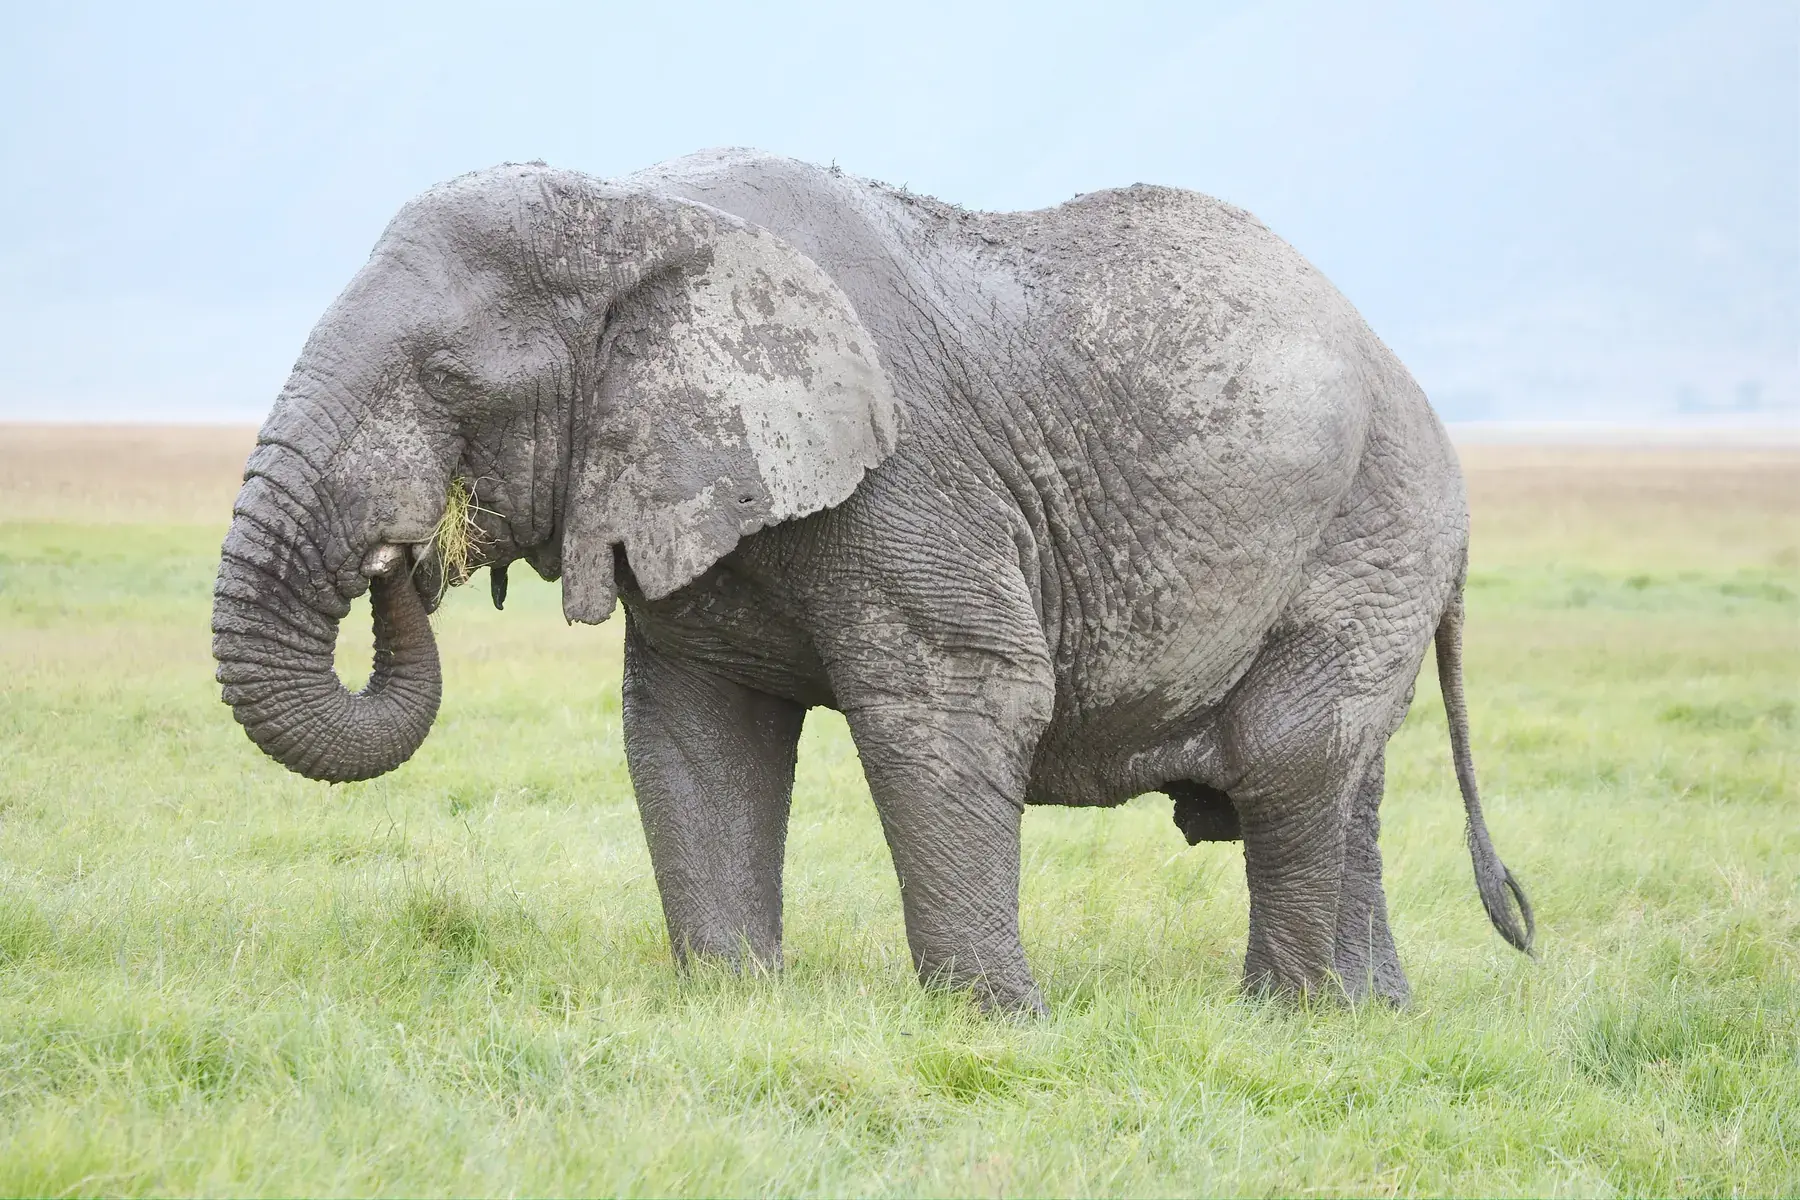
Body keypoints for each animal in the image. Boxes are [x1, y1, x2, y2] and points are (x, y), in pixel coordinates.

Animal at [212, 148, 1533, 1013]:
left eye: (449, 381)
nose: (402, 558)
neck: (644, 208)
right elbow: (693, 731)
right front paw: (733, 1005)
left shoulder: (913, 477)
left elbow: (955, 703)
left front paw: (994, 1023)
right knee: (1344, 774)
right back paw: (1369, 1018)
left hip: (1372, 526)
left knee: (1292, 756)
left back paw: (1282, 1018)